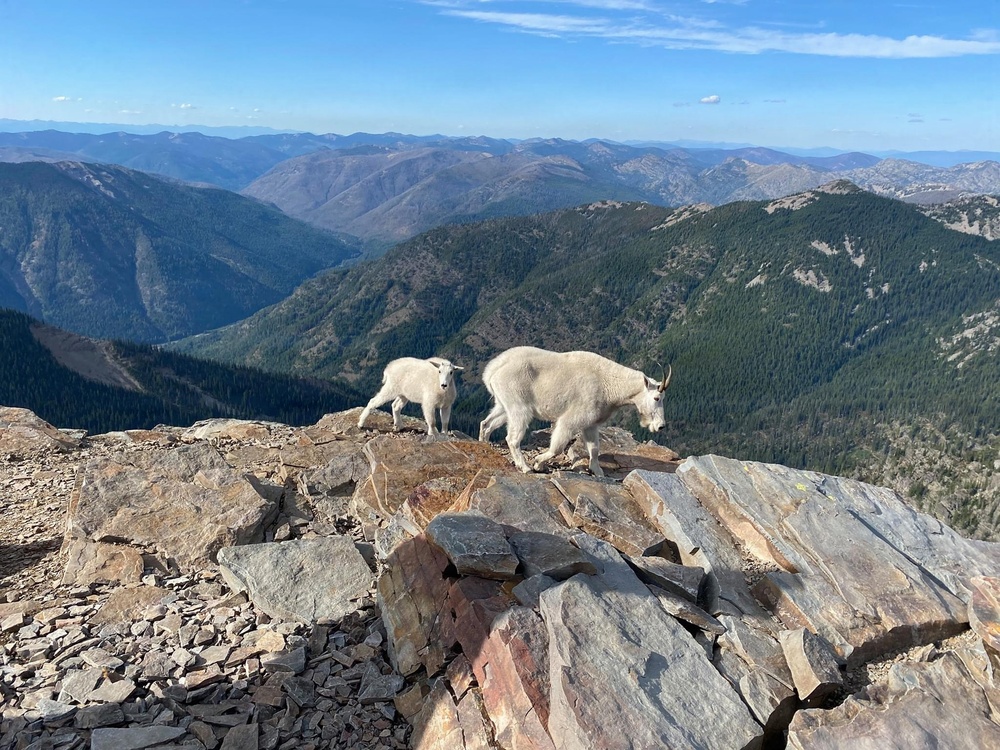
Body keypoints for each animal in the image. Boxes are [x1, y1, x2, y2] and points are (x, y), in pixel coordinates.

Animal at [478, 346, 671, 476]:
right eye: (656, 398)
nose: (660, 426)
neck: (609, 384)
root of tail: (492, 370)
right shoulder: (573, 418)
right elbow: (557, 446)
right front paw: (538, 463)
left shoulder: (591, 424)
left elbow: (594, 448)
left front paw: (598, 471)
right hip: (518, 404)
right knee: (512, 438)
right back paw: (525, 467)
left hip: (503, 404)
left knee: (486, 423)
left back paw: (485, 445)